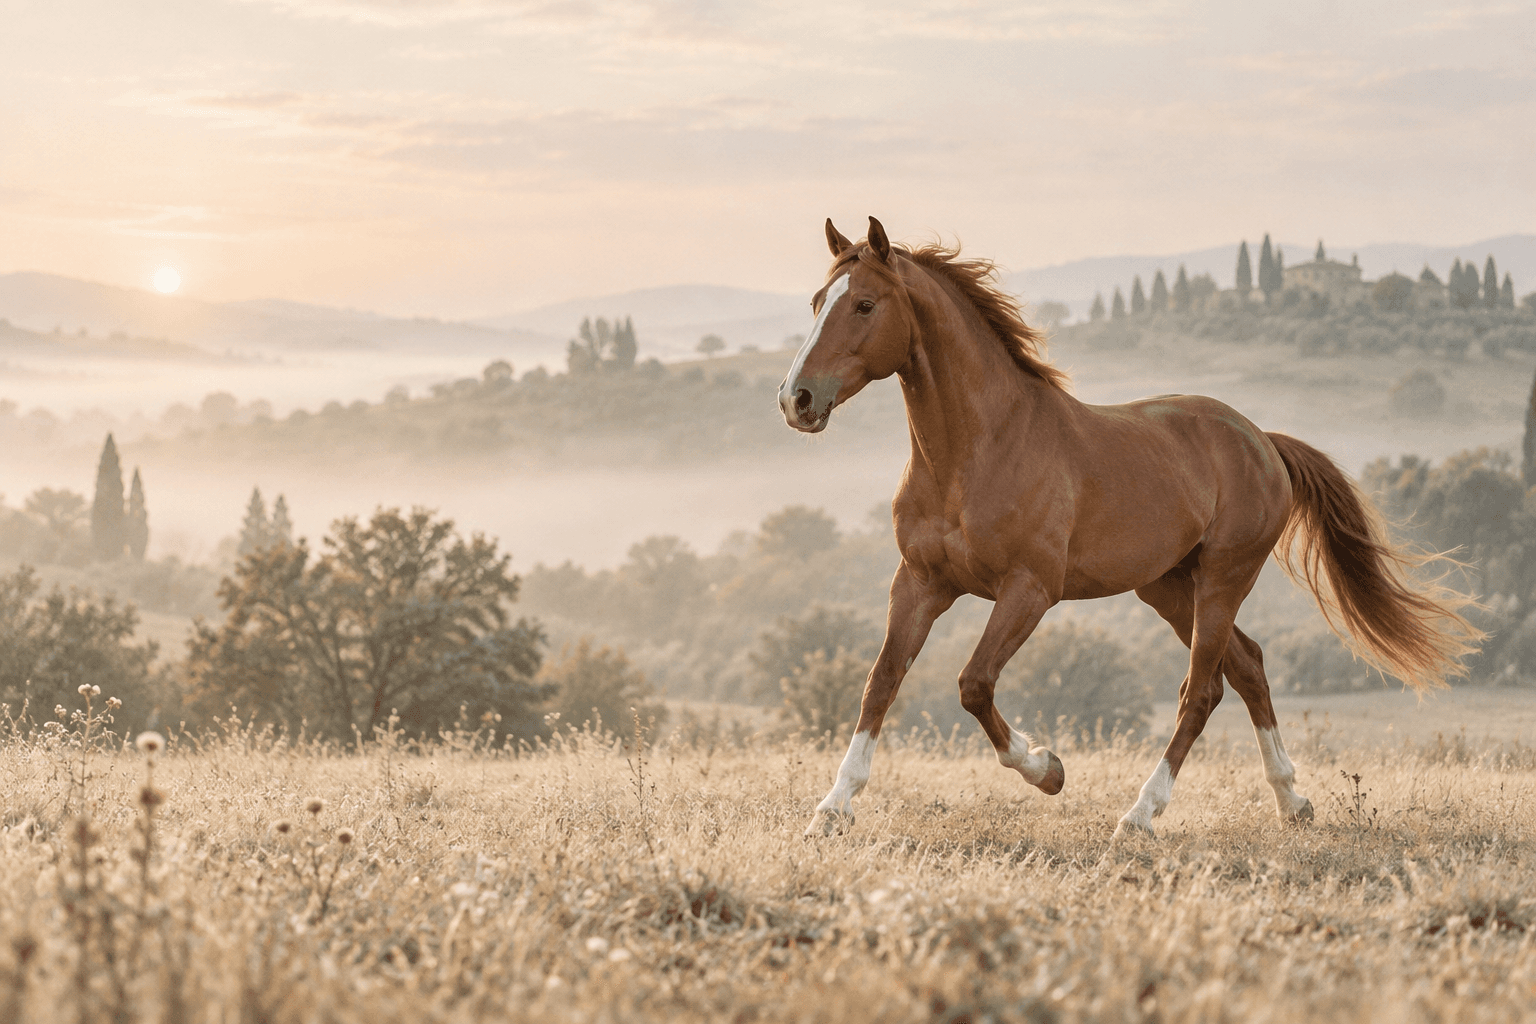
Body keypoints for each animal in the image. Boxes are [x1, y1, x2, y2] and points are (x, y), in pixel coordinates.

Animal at [777, 216, 1481, 838]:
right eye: (816, 302)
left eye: (865, 304)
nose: (796, 399)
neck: (977, 452)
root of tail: (1263, 441)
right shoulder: (920, 583)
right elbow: (880, 684)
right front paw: (831, 810)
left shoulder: (1029, 590)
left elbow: (973, 684)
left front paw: (1048, 770)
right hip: (1167, 586)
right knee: (1247, 668)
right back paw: (1292, 802)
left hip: (1223, 578)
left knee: (1201, 691)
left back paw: (1140, 816)